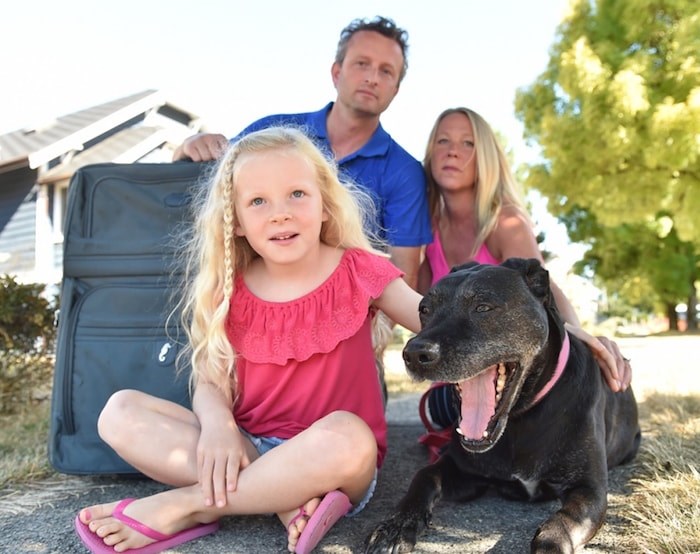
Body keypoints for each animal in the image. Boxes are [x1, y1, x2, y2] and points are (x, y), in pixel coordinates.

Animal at [366, 258, 640, 552]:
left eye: (483, 307)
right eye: (424, 309)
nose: (415, 354)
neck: (521, 419)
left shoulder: (589, 489)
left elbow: (561, 524)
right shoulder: (463, 469)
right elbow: (424, 475)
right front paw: (397, 526)